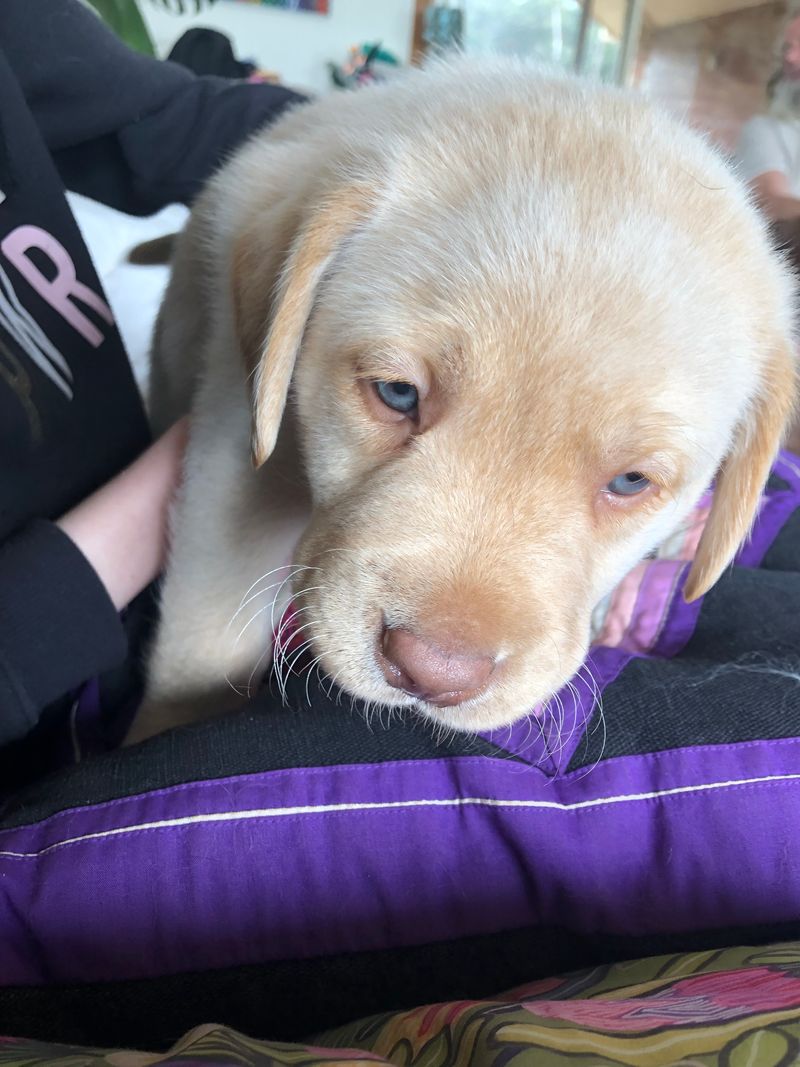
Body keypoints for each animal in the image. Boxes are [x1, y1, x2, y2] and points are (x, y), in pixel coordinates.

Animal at [126, 56, 800, 742]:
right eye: (398, 394)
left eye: (631, 482)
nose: (433, 671)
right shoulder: (237, 450)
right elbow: (203, 638)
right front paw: (163, 726)